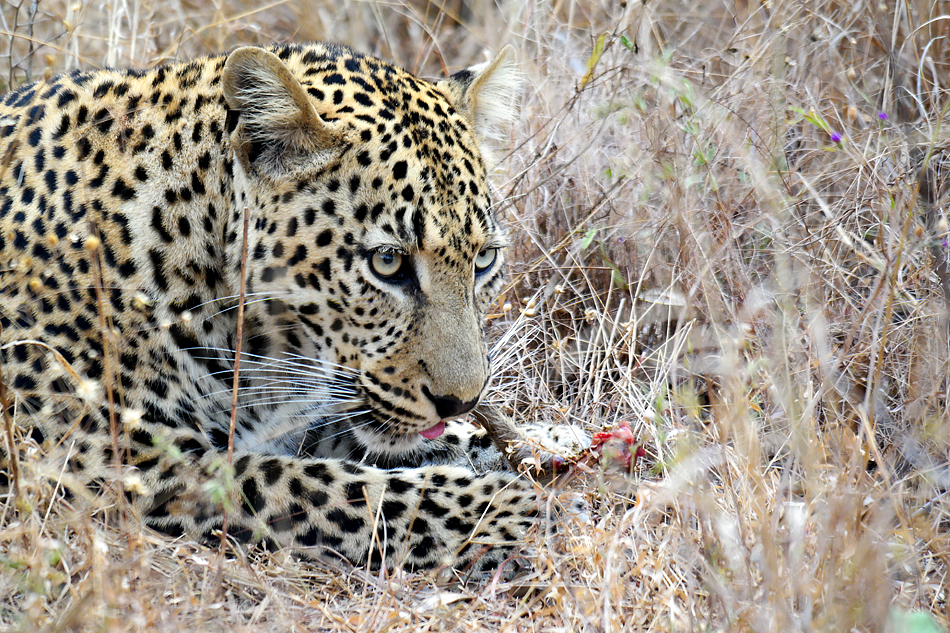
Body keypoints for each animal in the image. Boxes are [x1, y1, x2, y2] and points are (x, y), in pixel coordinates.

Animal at [0, 42, 588, 576]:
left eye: (484, 259)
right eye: (388, 262)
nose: (460, 401)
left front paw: (545, 442)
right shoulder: (122, 463)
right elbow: (335, 487)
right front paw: (517, 512)